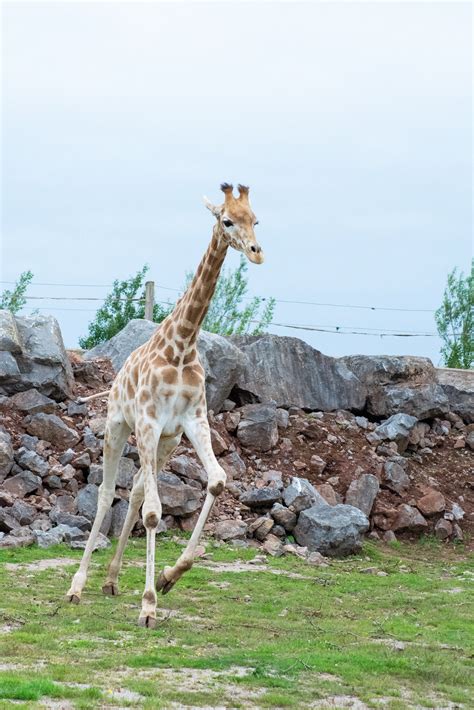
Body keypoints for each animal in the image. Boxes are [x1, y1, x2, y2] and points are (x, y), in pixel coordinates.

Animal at [66, 184, 262, 628]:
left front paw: (170, 577)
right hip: (118, 427)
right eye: (227, 220)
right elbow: (155, 512)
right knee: (107, 493)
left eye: (256, 219)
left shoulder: (191, 420)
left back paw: (111, 579)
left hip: (165, 444)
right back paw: (77, 587)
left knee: (138, 488)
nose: (257, 252)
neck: (182, 345)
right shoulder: (148, 422)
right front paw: (149, 604)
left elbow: (217, 480)